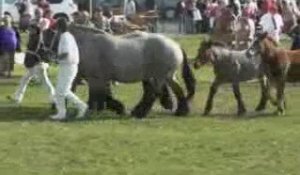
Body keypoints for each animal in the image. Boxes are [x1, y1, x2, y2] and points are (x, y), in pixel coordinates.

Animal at [39, 24, 196, 117]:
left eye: (47, 35)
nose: (42, 53)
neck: (85, 45)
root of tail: (175, 44)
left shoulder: (95, 78)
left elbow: (98, 95)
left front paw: (100, 108)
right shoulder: (89, 77)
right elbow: (96, 94)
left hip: (159, 76)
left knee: (153, 93)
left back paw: (140, 113)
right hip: (167, 76)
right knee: (177, 90)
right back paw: (181, 111)